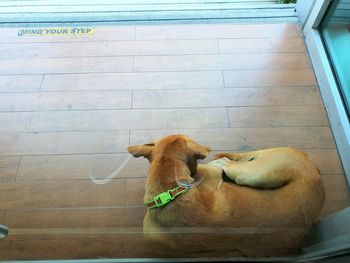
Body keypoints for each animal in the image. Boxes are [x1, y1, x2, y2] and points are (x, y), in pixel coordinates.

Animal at [128, 135, 326, 258]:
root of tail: (312, 165)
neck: (170, 192)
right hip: (252, 173)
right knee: (226, 162)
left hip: (252, 173)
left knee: (225, 162)